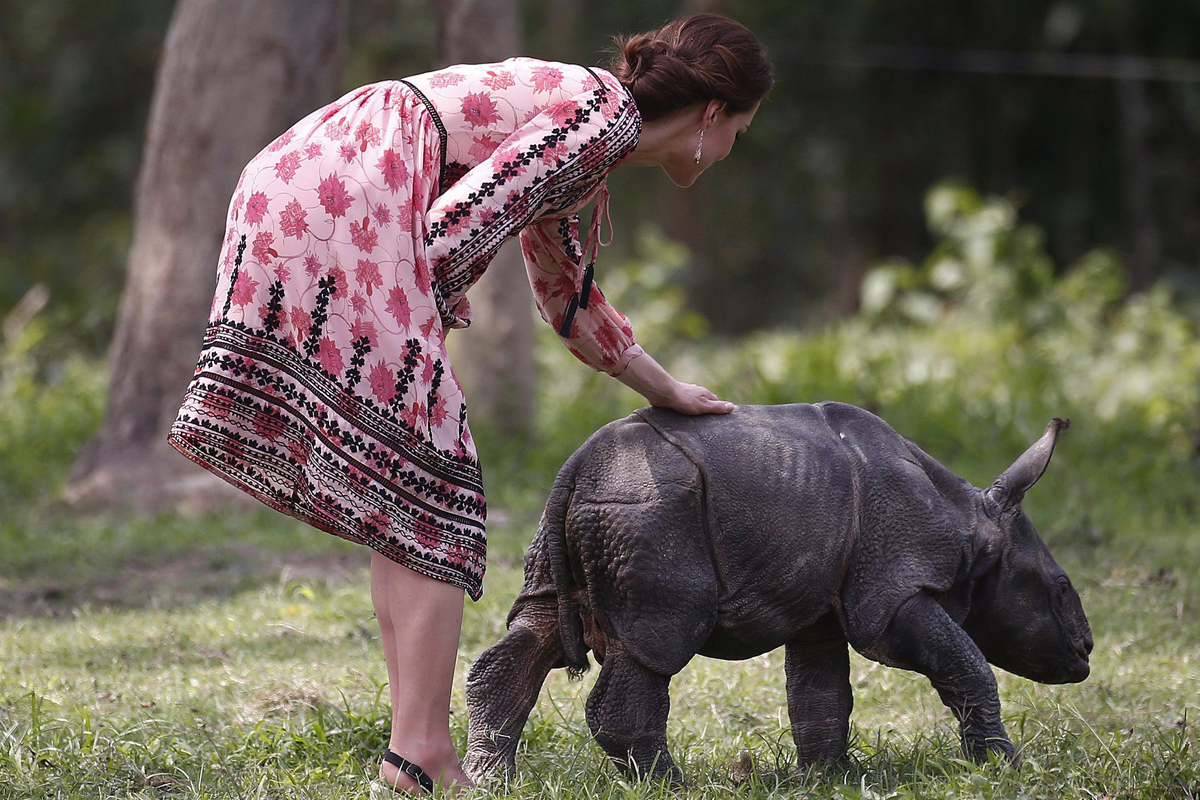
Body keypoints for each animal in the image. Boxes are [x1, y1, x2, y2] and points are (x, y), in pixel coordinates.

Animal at [463, 402, 1094, 786]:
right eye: (1061, 588)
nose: (1086, 651)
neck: (975, 531)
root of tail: (577, 469)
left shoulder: (823, 601)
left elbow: (821, 692)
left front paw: (828, 780)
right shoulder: (890, 591)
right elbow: (967, 666)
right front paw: (1005, 770)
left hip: (588, 514)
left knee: (537, 630)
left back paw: (487, 778)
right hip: (649, 512)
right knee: (656, 646)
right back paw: (674, 785)